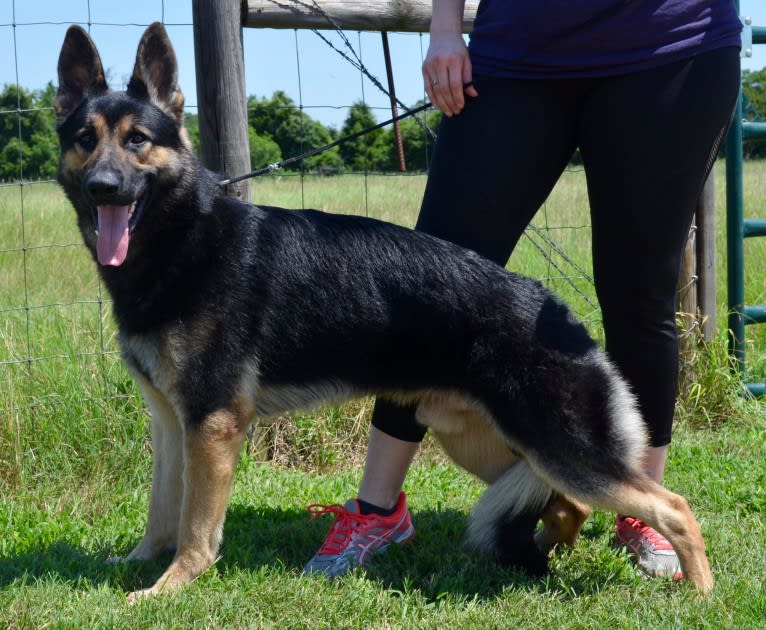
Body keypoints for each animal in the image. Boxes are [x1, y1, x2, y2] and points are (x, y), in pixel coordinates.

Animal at [54, 22, 712, 600]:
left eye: (137, 140)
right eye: (86, 139)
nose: (103, 187)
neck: (184, 237)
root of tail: (558, 311)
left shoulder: (211, 426)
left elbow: (194, 525)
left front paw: (168, 587)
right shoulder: (170, 423)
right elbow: (161, 509)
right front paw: (140, 563)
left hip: (560, 448)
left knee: (673, 506)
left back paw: (699, 592)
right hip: (486, 442)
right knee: (565, 502)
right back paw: (537, 553)